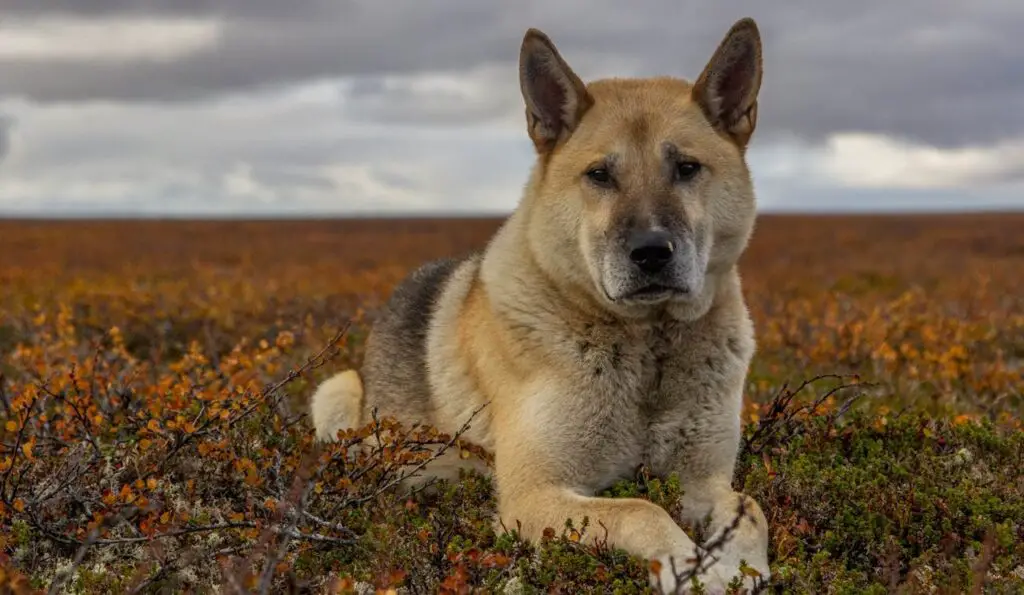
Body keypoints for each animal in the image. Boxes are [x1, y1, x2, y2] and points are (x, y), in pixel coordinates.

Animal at [311, 16, 770, 589]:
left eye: (687, 168)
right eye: (600, 175)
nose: (651, 253)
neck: (649, 348)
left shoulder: (703, 479)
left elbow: (750, 508)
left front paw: (739, 566)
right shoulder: (535, 496)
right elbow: (642, 509)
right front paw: (690, 569)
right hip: (334, 394)